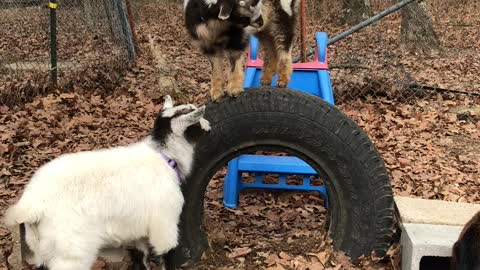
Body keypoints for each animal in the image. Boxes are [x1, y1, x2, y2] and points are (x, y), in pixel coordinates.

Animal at [2, 96, 210, 270]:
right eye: (195, 118)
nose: (209, 127)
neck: (164, 157)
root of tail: (32, 204)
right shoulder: (164, 223)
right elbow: (166, 253)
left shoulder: (137, 228)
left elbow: (140, 256)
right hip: (71, 249)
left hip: (39, 247)